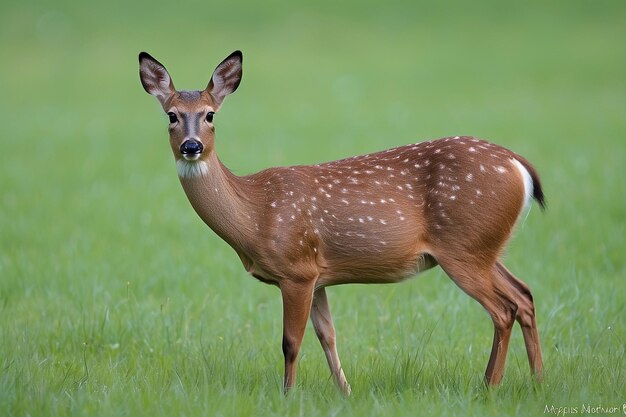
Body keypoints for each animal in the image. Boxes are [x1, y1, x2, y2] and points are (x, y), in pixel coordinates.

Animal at [139, 49, 544, 394]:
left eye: (210, 115)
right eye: (172, 115)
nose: (192, 146)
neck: (256, 214)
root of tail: (520, 165)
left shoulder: (296, 269)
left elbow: (291, 342)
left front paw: (287, 395)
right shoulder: (318, 275)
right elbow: (327, 336)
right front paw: (345, 391)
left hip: (464, 248)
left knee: (503, 309)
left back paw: (489, 386)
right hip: (485, 247)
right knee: (524, 294)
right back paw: (537, 380)